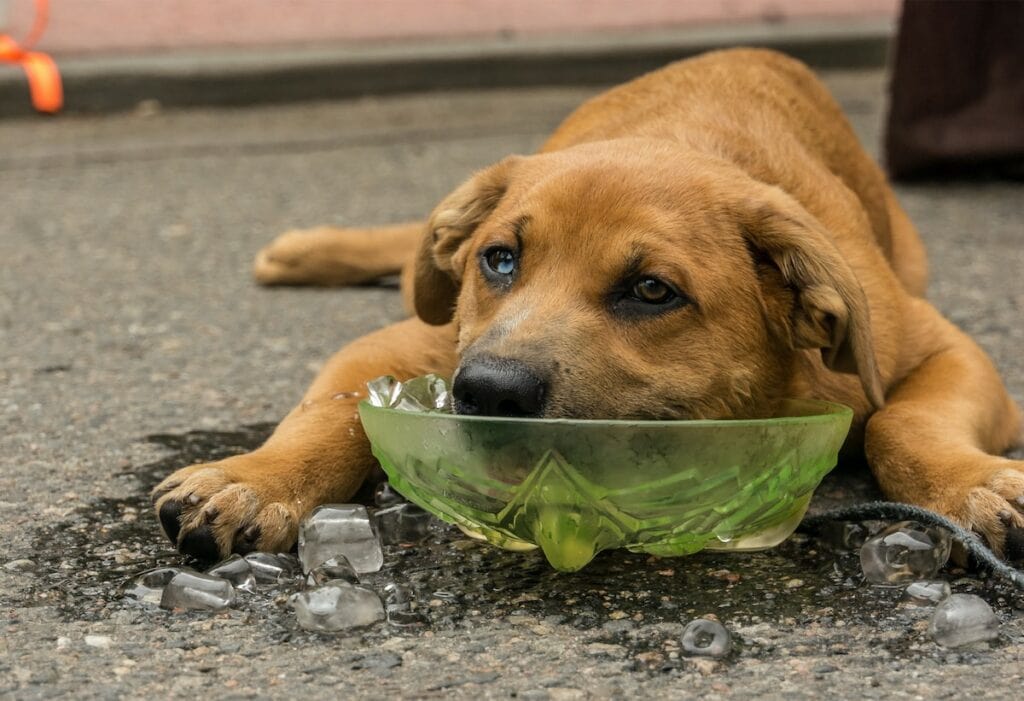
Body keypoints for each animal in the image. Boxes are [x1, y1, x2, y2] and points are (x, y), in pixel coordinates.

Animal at [151, 47, 1024, 564]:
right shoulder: (416, 340)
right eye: (499, 259)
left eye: (650, 290)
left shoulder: (941, 347)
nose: (487, 393)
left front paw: (973, 484)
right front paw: (254, 478)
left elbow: (901, 422)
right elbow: (327, 412)